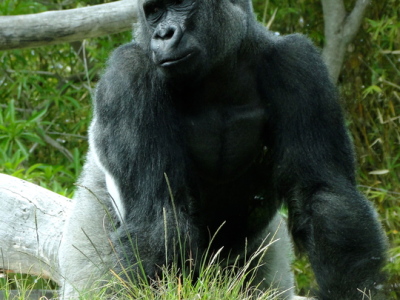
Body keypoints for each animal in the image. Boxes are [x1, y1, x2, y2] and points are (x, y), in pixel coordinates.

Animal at [57, 0, 386, 300]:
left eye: (181, 3)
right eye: (154, 11)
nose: (163, 34)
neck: (220, 74)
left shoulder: (298, 62)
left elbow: (323, 191)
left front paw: (354, 290)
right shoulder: (128, 71)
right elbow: (158, 214)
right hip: (87, 229)